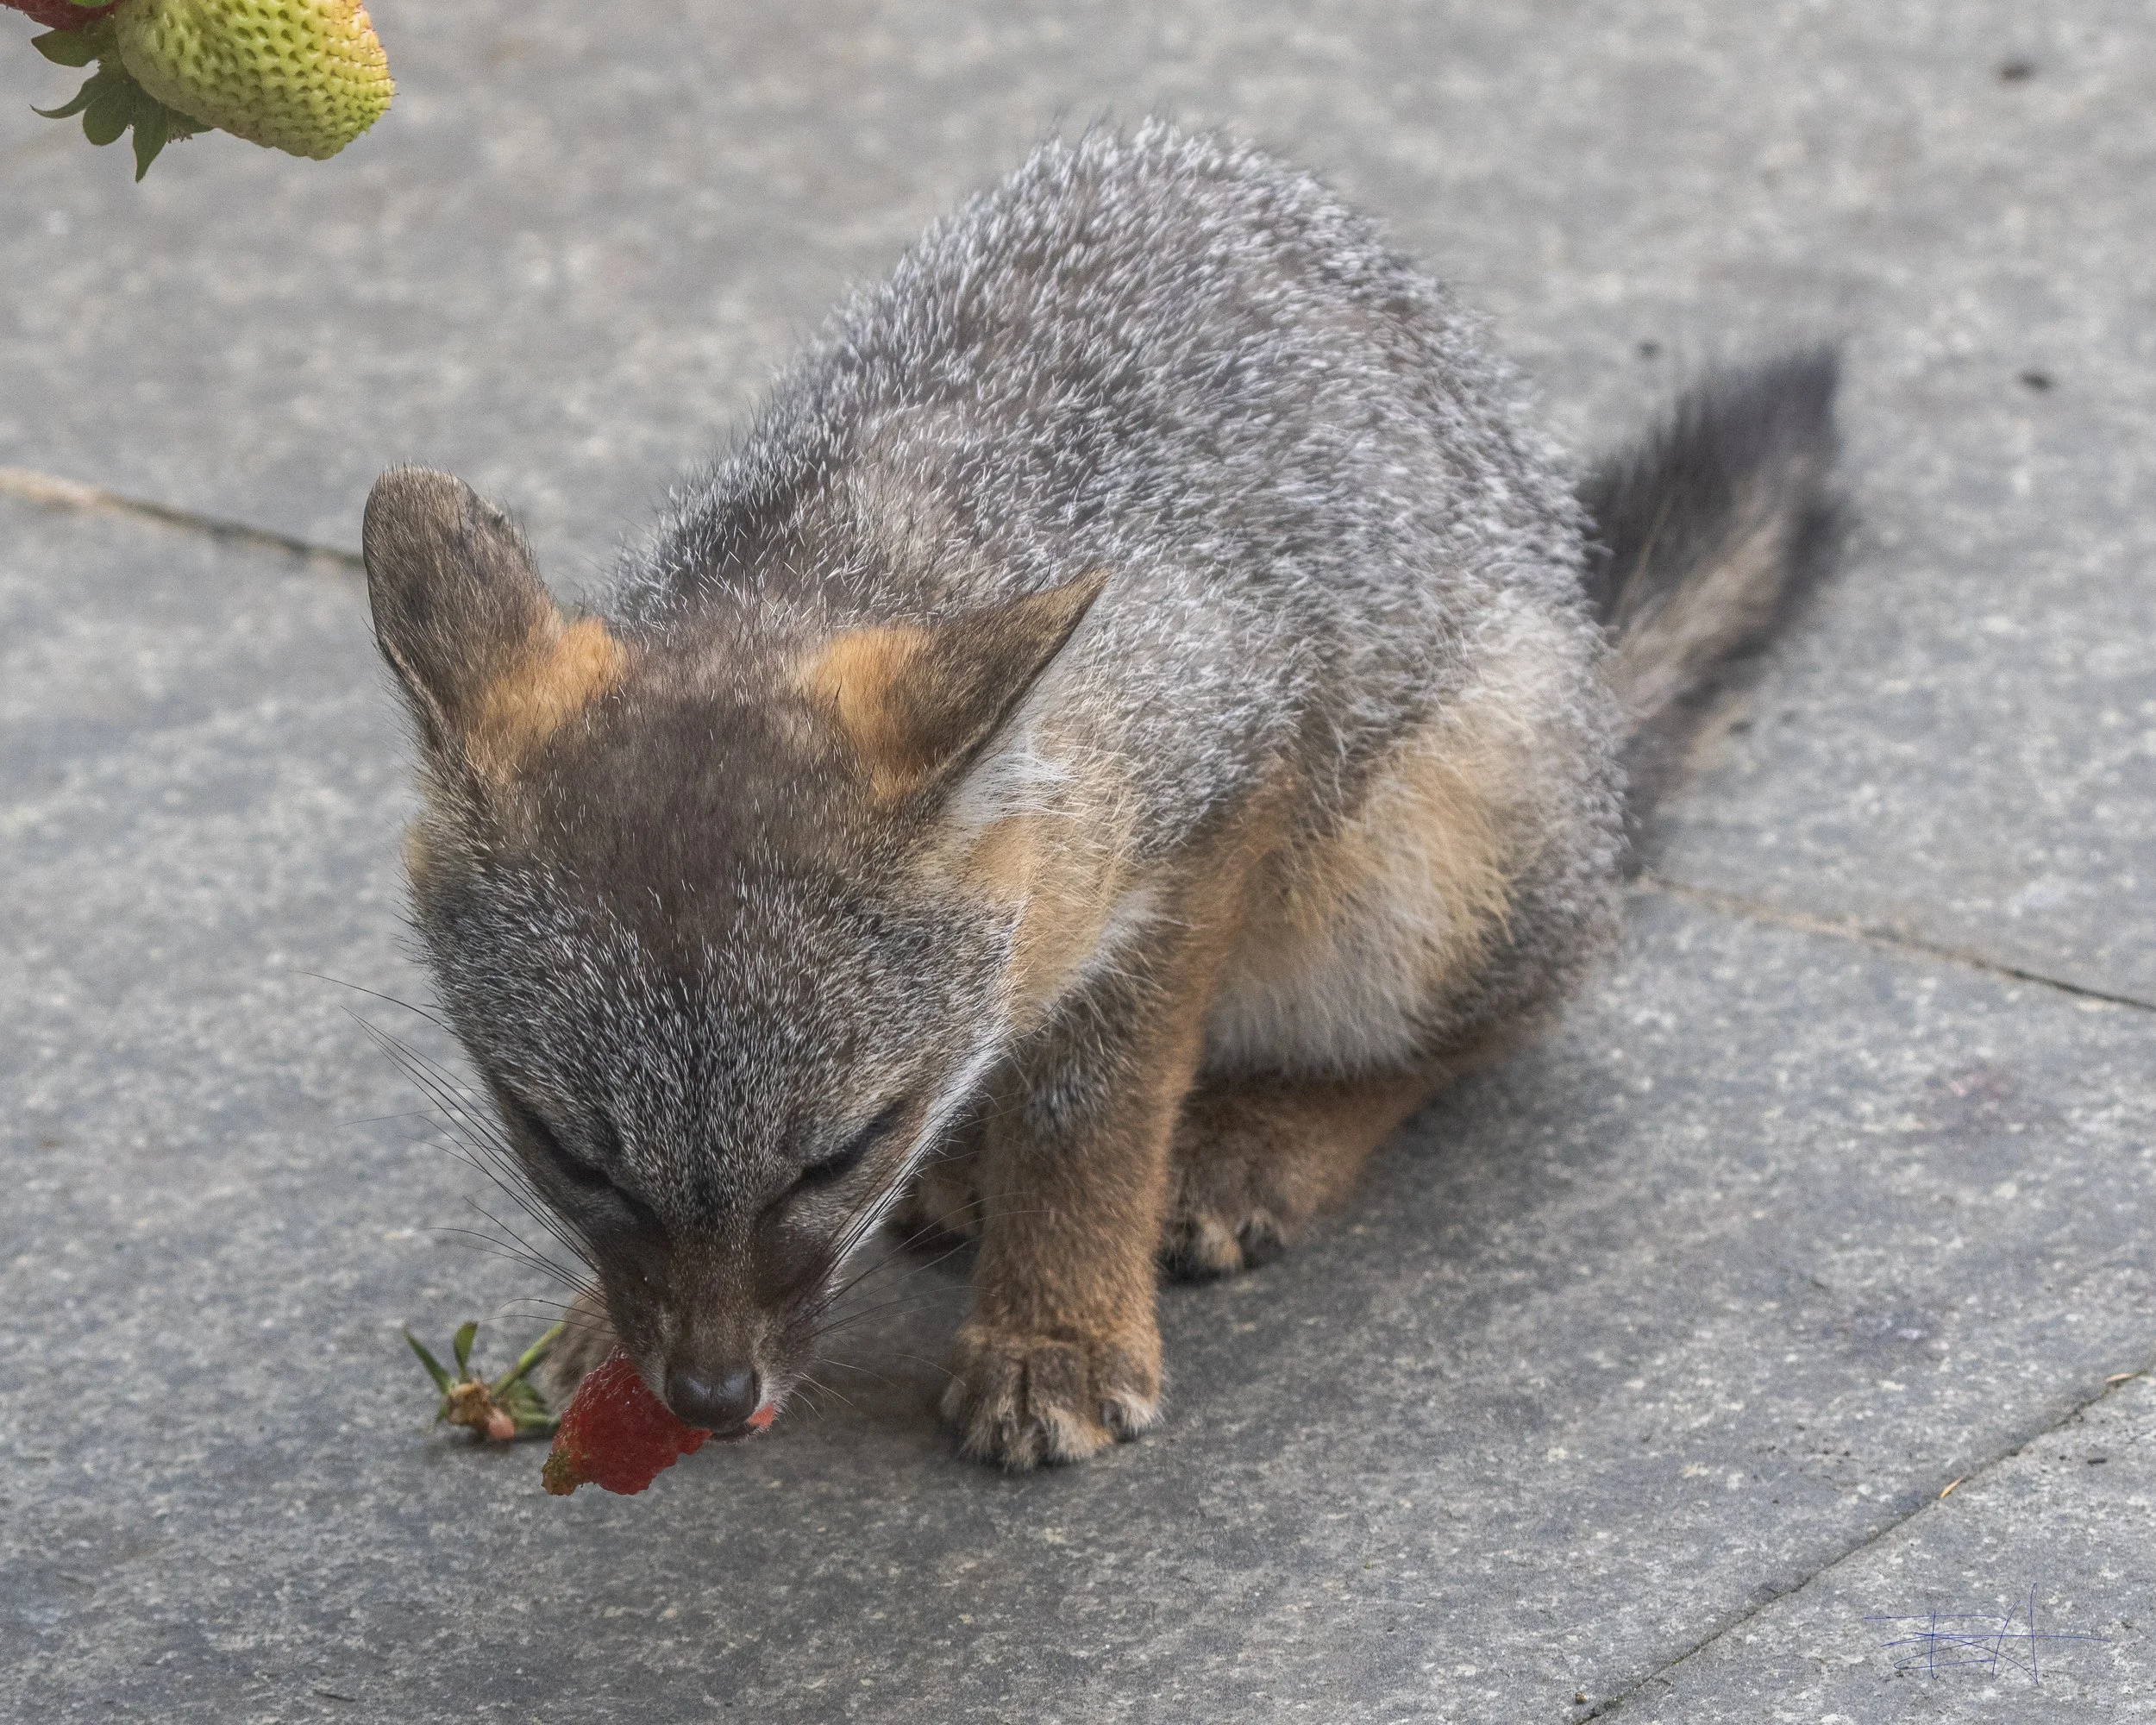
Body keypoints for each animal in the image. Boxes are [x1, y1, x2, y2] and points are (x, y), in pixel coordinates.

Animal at [363, 122, 1837, 1469]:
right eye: (571, 1154)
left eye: (836, 1155)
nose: (714, 1403)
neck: (855, 544)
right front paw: (599, 1327)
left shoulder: (1222, 791)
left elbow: (1096, 1118)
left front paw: (1057, 1330)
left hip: (1424, 871)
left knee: (1500, 1018)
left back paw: (1262, 1139)